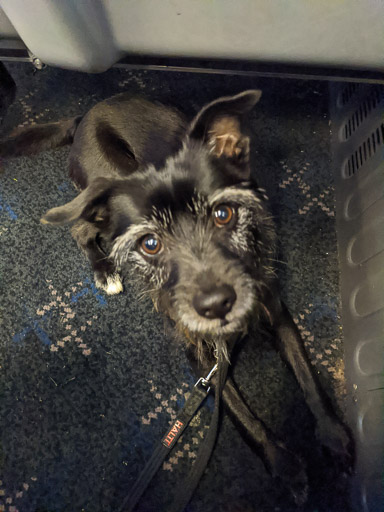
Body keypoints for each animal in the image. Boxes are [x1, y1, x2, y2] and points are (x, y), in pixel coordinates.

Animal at [0, 91, 354, 504]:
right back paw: (105, 271)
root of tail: (84, 115)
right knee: (80, 230)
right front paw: (283, 465)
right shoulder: (201, 357)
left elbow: (308, 377)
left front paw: (333, 436)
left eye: (223, 213)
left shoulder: (276, 311)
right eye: (150, 243)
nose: (216, 305)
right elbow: (241, 415)